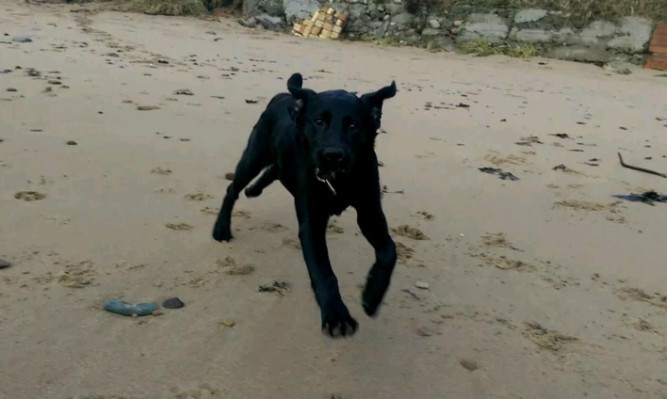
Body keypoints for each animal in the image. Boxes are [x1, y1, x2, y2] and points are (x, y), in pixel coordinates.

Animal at [214, 72, 400, 338]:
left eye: (353, 125)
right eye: (319, 121)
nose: (333, 155)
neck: (338, 180)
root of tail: (284, 96)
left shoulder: (369, 212)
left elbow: (389, 252)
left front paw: (372, 296)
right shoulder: (312, 223)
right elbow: (324, 271)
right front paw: (336, 315)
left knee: (274, 171)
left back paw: (254, 189)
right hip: (254, 155)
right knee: (233, 189)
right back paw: (221, 227)